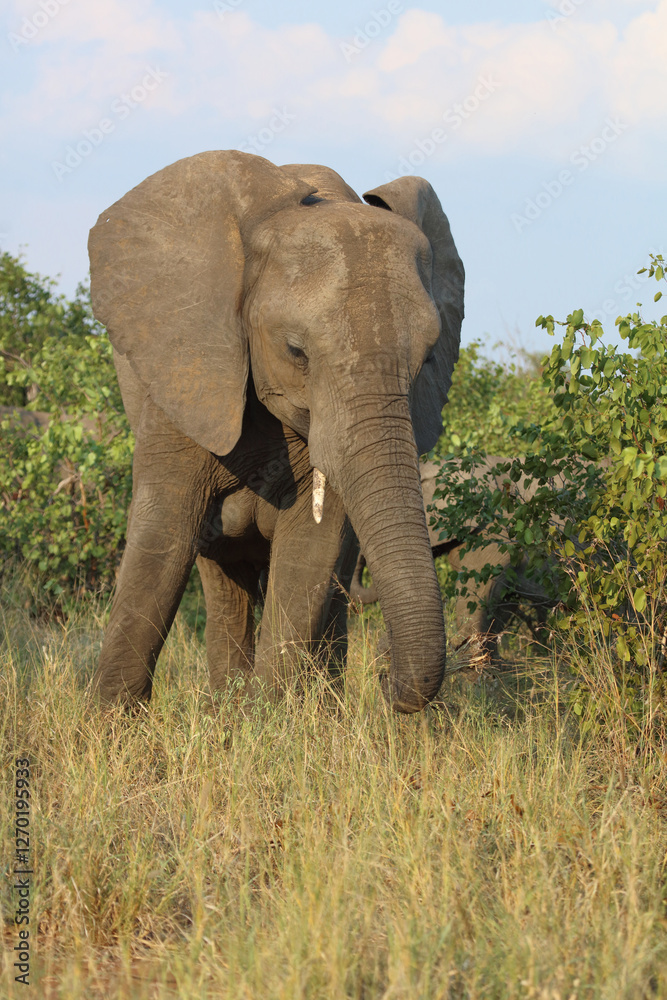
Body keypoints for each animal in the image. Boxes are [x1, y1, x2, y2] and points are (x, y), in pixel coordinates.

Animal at [87, 150, 464, 713]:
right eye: (295, 351)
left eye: (427, 358)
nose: (385, 683)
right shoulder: (186, 372)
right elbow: (163, 534)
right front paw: (107, 722)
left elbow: (311, 550)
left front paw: (271, 719)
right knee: (222, 574)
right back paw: (229, 702)